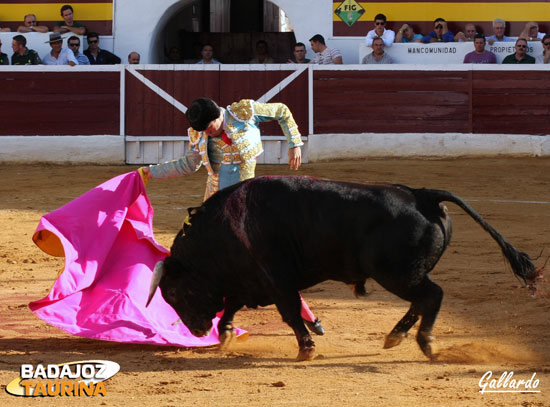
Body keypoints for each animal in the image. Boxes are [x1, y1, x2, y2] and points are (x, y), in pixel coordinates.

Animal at [146, 177, 540, 362]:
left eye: (176, 291)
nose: (197, 330)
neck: (220, 231)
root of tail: (421, 194)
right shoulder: (250, 280)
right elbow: (232, 304)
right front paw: (225, 334)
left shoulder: (276, 280)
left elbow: (290, 312)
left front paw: (306, 349)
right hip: (404, 275)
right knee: (423, 300)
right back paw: (395, 336)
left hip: (397, 273)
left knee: (432, 295)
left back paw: (424, 342)